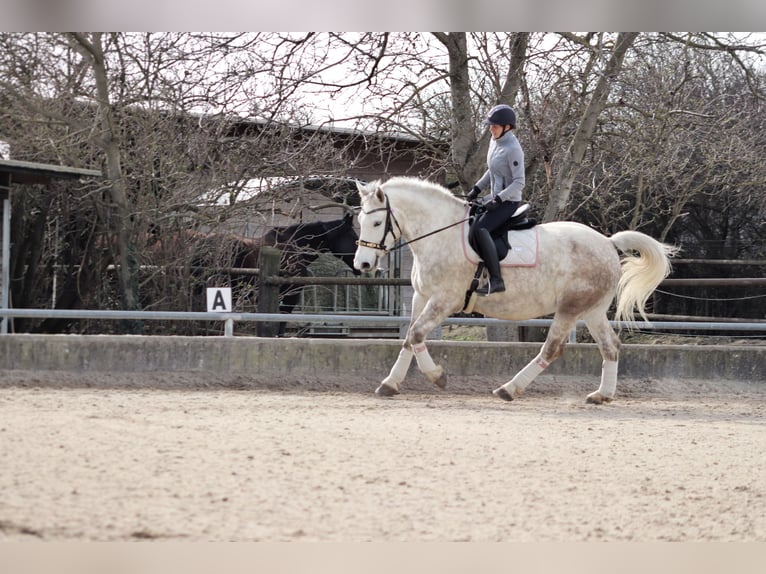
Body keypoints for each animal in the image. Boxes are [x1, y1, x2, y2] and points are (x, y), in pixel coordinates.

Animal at [354, 177, 680, 404]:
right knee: (610, 346)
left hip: (570, 309)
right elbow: (408, 339)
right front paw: (390, 384)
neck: (440, 234)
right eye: (359, 220)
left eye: (377, 221)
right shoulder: (421, 297)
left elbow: (417, 334)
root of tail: (608, 243)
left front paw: (439, 378)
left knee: (552, 348)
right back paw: (602, 395)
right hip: (592, 310)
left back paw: (509, 389)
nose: (363, 264)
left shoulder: (444, 300)